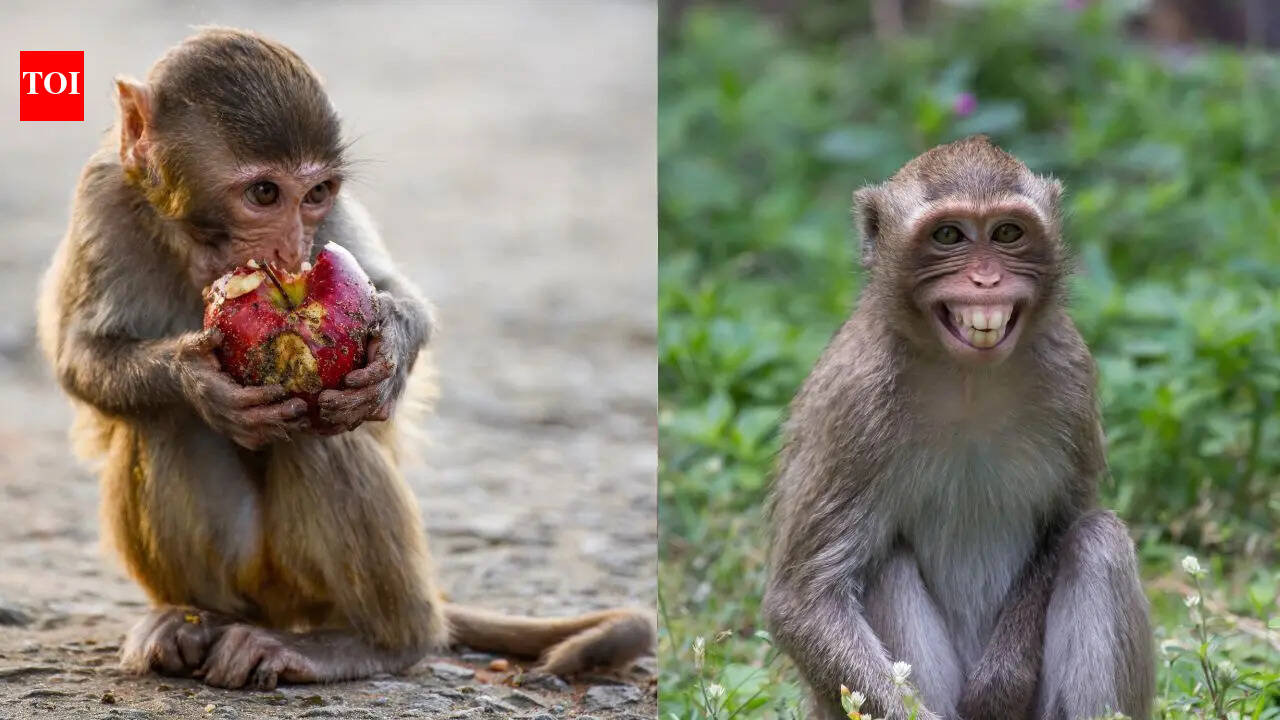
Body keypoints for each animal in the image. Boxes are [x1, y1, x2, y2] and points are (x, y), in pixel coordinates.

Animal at [36, 27, 653, 691]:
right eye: (263, 193)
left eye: (316, 194)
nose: (291, 252)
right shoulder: (102, 196)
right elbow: (83, 357)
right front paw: (197, 381)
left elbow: (394, 293)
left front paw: (391, 355)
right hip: (253, 580)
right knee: (168, 422)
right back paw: (194, 620)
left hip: (307, 587)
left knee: (320, 429)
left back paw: (377, 643)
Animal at [761, 136, 1154, 720]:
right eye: (948, 236)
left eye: (1008, 233)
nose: (986, 280)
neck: (968, 378)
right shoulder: (853, 401)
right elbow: (805, 599)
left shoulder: (1070, 371)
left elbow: (1065, 522)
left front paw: (1002, 681)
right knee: (885, 565)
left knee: (1097, 539)